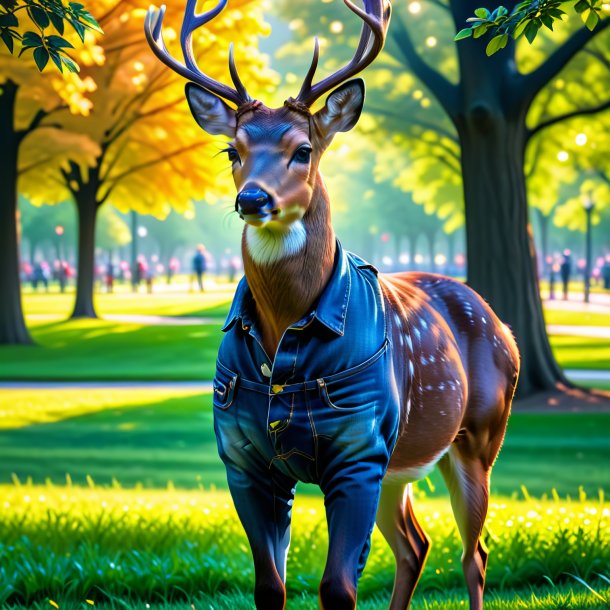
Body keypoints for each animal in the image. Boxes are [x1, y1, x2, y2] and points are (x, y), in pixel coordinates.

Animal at [144, 1, 516, 608]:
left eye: (303, 149)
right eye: (232, 150)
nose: (252, 198)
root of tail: (502, 324)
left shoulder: (357, 449)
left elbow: (338, 587)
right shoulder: (245, 459)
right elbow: (270, 587)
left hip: (480, 435)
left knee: (474, 554)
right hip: (400, 465)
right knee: (416, 545)